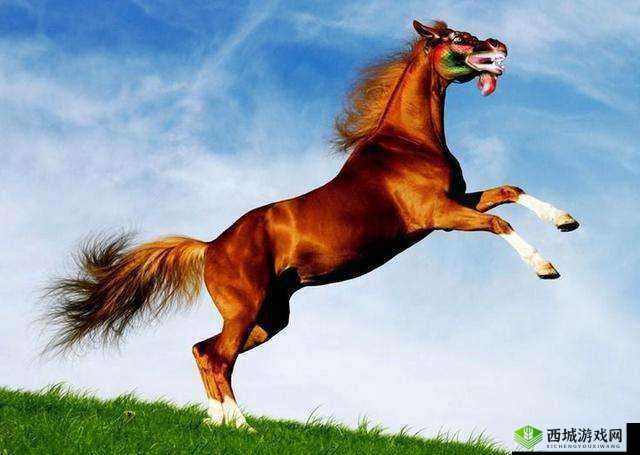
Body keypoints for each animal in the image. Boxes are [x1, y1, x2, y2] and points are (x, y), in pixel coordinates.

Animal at [45, 20, 579, 430]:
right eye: (462, 39)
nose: (502, 46)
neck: (409, 143)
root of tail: (210, 245)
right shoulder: (439, 216)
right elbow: (499, 225)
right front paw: (546, 268)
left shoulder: (458, 200)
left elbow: (509, 191)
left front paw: (566, 221)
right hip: (246, 310)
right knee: (217, 357)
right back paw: (243, 426)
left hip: (269, 319)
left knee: (202, 350)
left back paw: (217, 422)